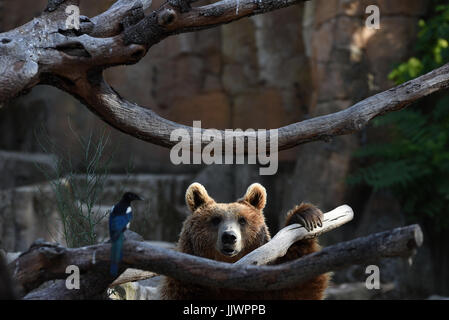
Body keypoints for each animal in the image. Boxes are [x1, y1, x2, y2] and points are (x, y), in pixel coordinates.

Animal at [159, 182, 328, 300]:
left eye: (242, 220)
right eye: (215, 220)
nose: (229, 237)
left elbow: (298, 289)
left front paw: (306, 216)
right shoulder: (183, 287)